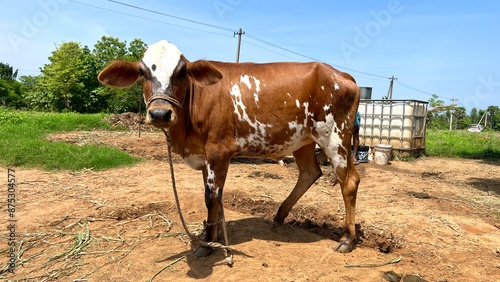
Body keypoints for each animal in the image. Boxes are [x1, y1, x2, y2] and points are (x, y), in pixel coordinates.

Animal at [98, 39, 360, 256]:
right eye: (142, 72)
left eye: (181, 72)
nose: (160, 113)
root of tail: (342, 74)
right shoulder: (204, 156)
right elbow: (212, 198)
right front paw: (212, 237)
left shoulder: (219, 151)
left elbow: (212, 197)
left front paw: (207, 244)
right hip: (303, 140)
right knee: (310, 173)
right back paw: (279, 216)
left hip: (334, 137)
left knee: (348, 181)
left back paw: (347, 239)